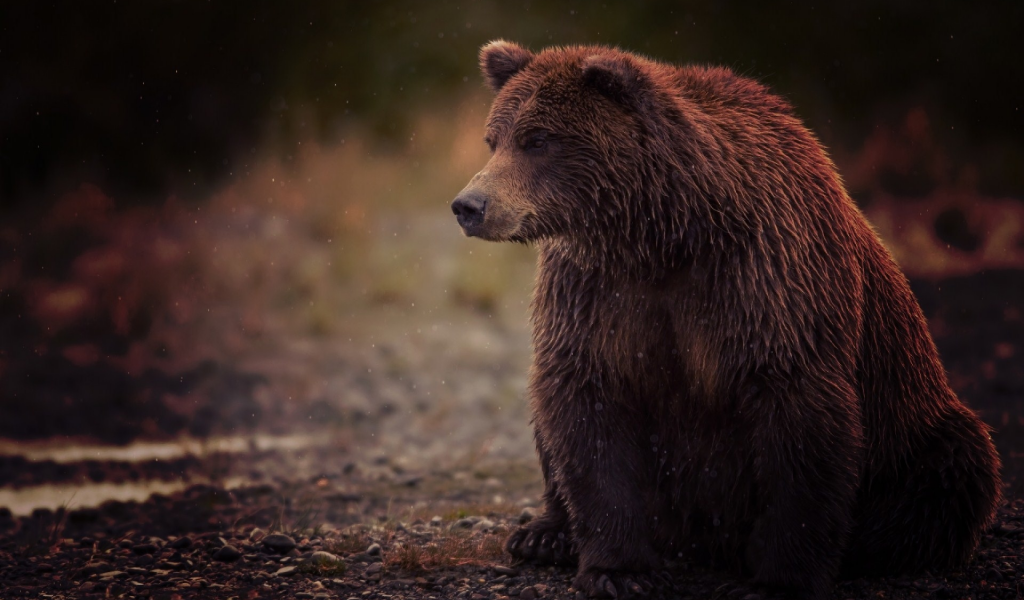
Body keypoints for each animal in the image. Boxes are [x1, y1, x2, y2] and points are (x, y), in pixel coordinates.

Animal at [452, 41, 1003, 597]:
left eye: (538, 139)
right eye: (494, 140)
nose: (469, 205)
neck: (662, 236)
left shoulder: (767, 282)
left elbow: (798, 423)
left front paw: (775, 579)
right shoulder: (598, 294)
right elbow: (587, 405)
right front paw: (618, 570)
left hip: (914, 430)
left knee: (951, 471)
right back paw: (544, 535)